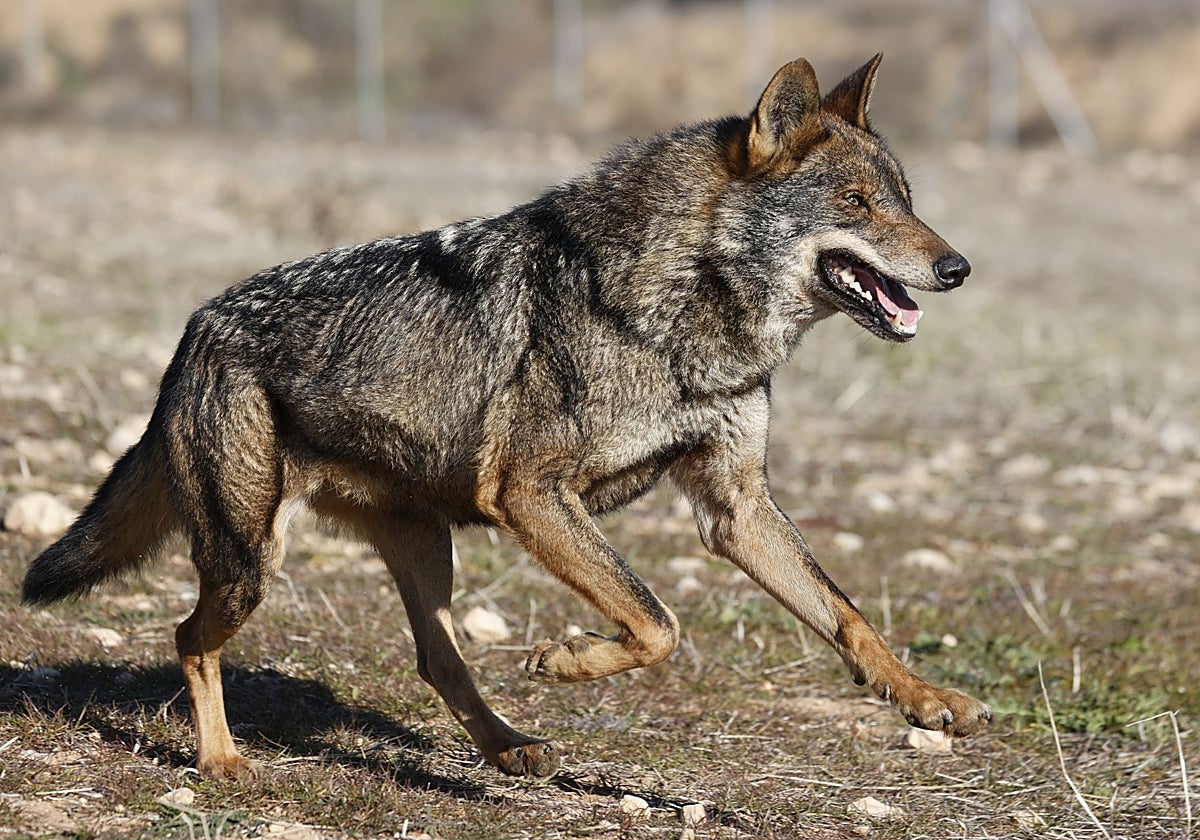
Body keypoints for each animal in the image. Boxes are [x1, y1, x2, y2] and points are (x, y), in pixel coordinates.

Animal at [22, 54, 990, 780]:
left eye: (906, 197)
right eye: (857, 204)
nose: (959, 268)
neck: (685, 314)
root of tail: (196, 326)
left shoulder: (734, 508)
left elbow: (845, 614)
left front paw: (927, 698)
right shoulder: (530, 494)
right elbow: (658, 624)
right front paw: (567, 660)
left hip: (421, 551)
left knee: (436, 660)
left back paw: (509, 748)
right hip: (251, 563)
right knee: (187, 637)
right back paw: (222, 762)